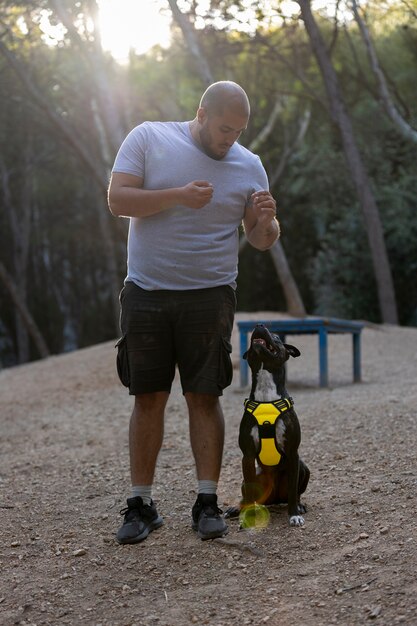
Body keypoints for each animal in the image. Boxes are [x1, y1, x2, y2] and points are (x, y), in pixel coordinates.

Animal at [228, 324, 308, 524]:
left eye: (277, 337)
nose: (259, 325)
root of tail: (274, 497)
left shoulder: (293, 453)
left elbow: (293, 491)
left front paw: (294, 514)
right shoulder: (247, 456)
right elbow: (249, 494)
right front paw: (247, 517)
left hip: (303, 467)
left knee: (295, 493)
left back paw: (300, 506)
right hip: (254, 477)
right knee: (247, 494)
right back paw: (236, 508)